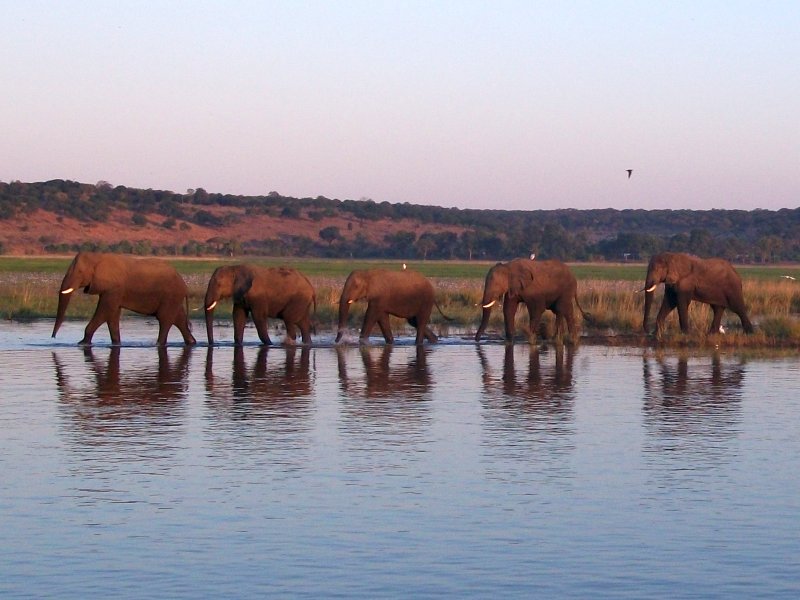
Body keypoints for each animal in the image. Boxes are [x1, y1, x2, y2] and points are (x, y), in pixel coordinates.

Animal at [52, 252, 195, 346]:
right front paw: (116, 343)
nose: (53, 337)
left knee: (165, 319)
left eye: (80, 272)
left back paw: (159, 344)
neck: (97, 257)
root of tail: (184, 285)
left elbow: (104, 312)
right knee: (179, 319)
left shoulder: (114, 288)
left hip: (171, 296)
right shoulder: (113, 291)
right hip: (173, 298)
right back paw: (192, 342)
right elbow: (112, 315)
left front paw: (82, 344)